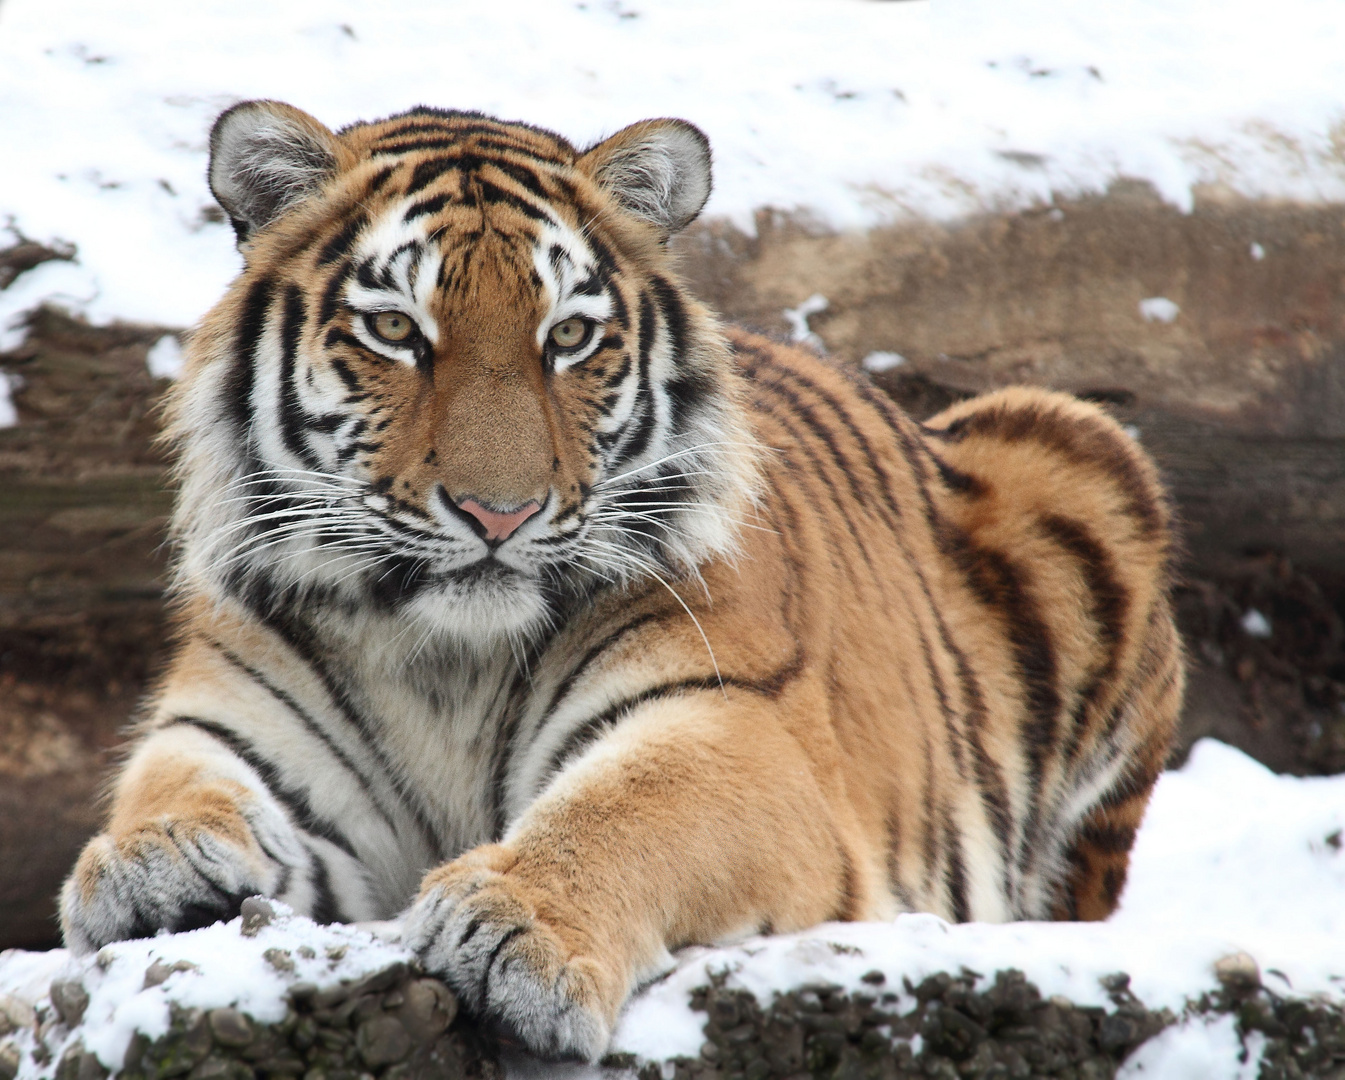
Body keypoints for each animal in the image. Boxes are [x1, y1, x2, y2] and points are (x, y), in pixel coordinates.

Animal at [60, 101, 1178, 1065]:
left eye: (567, 337)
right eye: (396, 332)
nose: (498, 513)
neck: (445, 657)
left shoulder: (730, 726)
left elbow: (621, 814)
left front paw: (512, 926)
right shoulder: (232, 722)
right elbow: (181, 780)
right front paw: (154, 861)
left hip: (1079, 446)